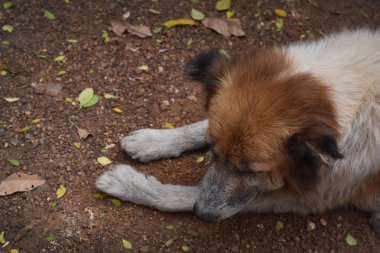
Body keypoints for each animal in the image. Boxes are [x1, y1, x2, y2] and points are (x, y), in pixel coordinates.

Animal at [96, 29, 380, 237]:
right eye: (213, 153)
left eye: (250, 171)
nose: (202, 215)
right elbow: (200, 126)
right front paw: (153, 140)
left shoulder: (304, 196)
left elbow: (184, 195)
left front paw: (130, 184)